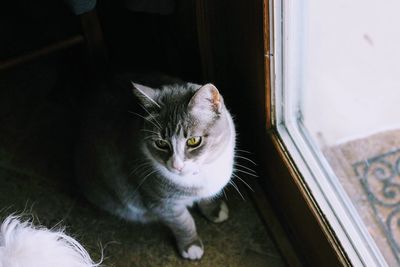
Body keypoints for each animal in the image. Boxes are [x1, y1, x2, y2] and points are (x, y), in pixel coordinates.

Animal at [76, 74, 234, 260]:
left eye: (194, 141)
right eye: (161, 143)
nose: (176, 165)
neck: (199, 176)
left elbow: (207, 199)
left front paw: (214, 210)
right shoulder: (161, 202)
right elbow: (183, 222)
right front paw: (191, 246)